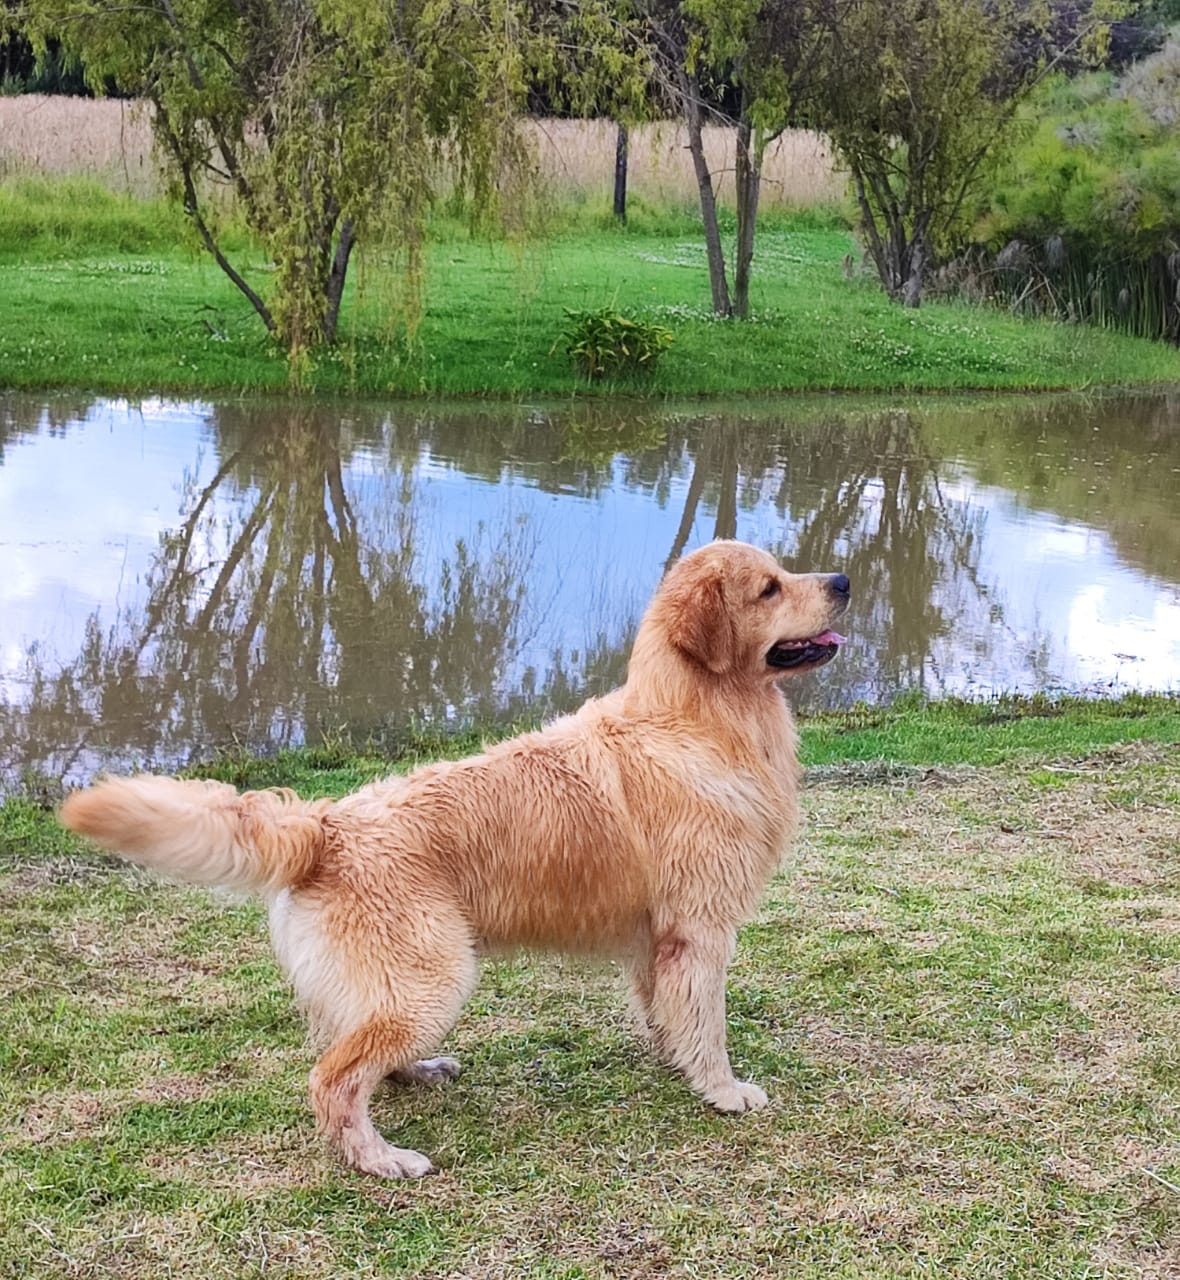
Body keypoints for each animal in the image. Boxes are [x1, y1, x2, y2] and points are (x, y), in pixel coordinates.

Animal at [59, 537, 844, 1177]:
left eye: (783, 574)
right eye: (769, 588)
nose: (841, 579)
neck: (692, 721)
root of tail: (325, 825)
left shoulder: (659, 939)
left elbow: (669, 1013)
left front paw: (674, 1061)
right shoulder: (700, 930)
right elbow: (707, 1024)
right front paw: (723, 1089)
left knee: (357, 1052)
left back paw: (418, 1075)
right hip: (432, 978)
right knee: (332, 1079)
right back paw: (381, 1160)